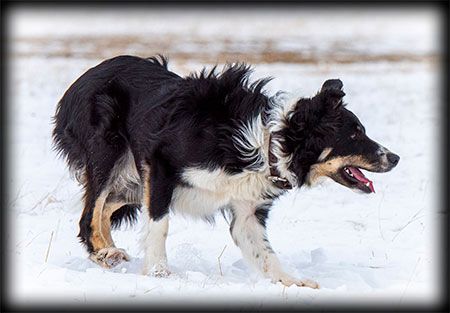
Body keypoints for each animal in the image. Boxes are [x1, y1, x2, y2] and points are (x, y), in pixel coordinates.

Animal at [51, 54, 400, 288]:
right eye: (354, 134)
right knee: (90, 211)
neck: (268, 142)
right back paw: (103, 252)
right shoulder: (160, 164)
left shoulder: (247, 209)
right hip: (109, 152)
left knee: (104, 206)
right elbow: (159, 226)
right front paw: (160, 273)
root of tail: (82, 78)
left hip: (134, 183)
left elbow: (263, 252)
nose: (395, 158)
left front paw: (293, 282)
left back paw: (106, 252)